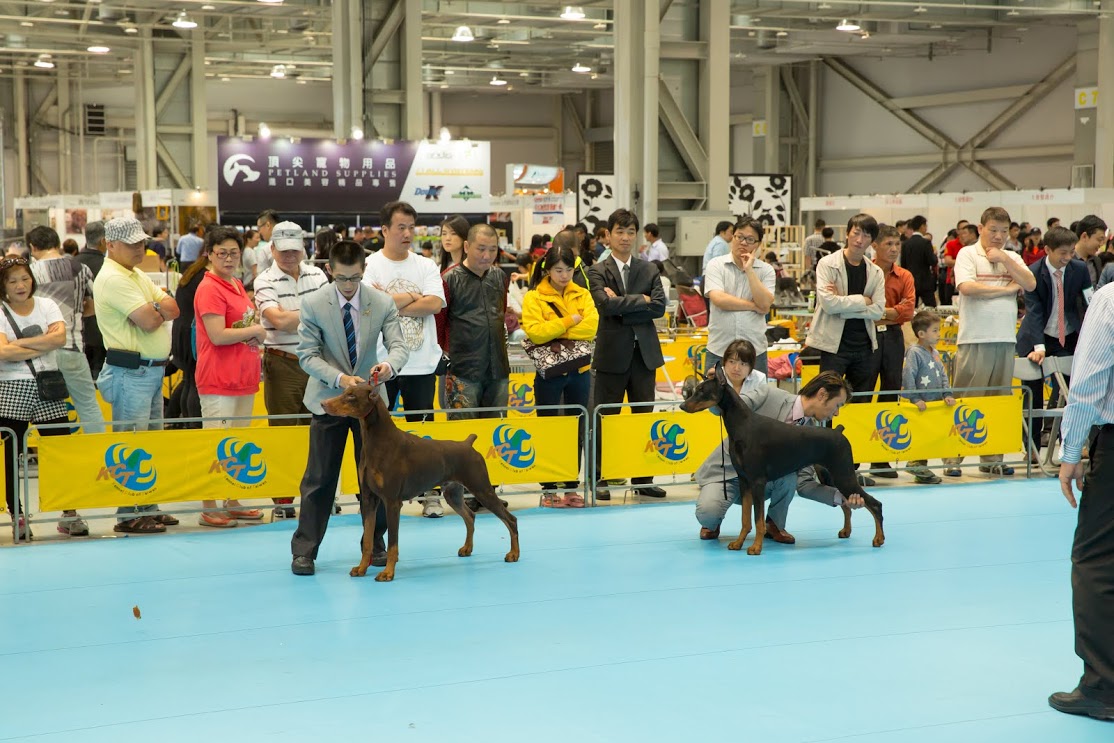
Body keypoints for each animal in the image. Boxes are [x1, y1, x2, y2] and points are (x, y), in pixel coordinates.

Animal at [321, 383, 520, 582]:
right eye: (345, 391)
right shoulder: (369, 499)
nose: (323, 404)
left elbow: (393, 542)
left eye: (351, 396)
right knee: (470, 516)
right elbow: (368, 539)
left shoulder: (392, 502)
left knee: (510, 519)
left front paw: (388, 572)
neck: (377, 441)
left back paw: (514, 554)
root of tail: (467, 444)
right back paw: (467, 549)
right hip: (453, 494)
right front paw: (361, 568)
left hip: (481, 488)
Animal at [678, 369, 884, 555]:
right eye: (695, 389)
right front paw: (738, 543)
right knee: (846, 503)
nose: (682, 406)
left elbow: (758, 520)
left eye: (702, 390)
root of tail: (839, 432)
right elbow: (745, 519)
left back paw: (878, 539)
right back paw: (846, 531)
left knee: (875, 504)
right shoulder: (745, 481)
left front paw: (756, 547)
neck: (742, 425)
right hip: (831, 475)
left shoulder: (757, 481)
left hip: (843, 475)